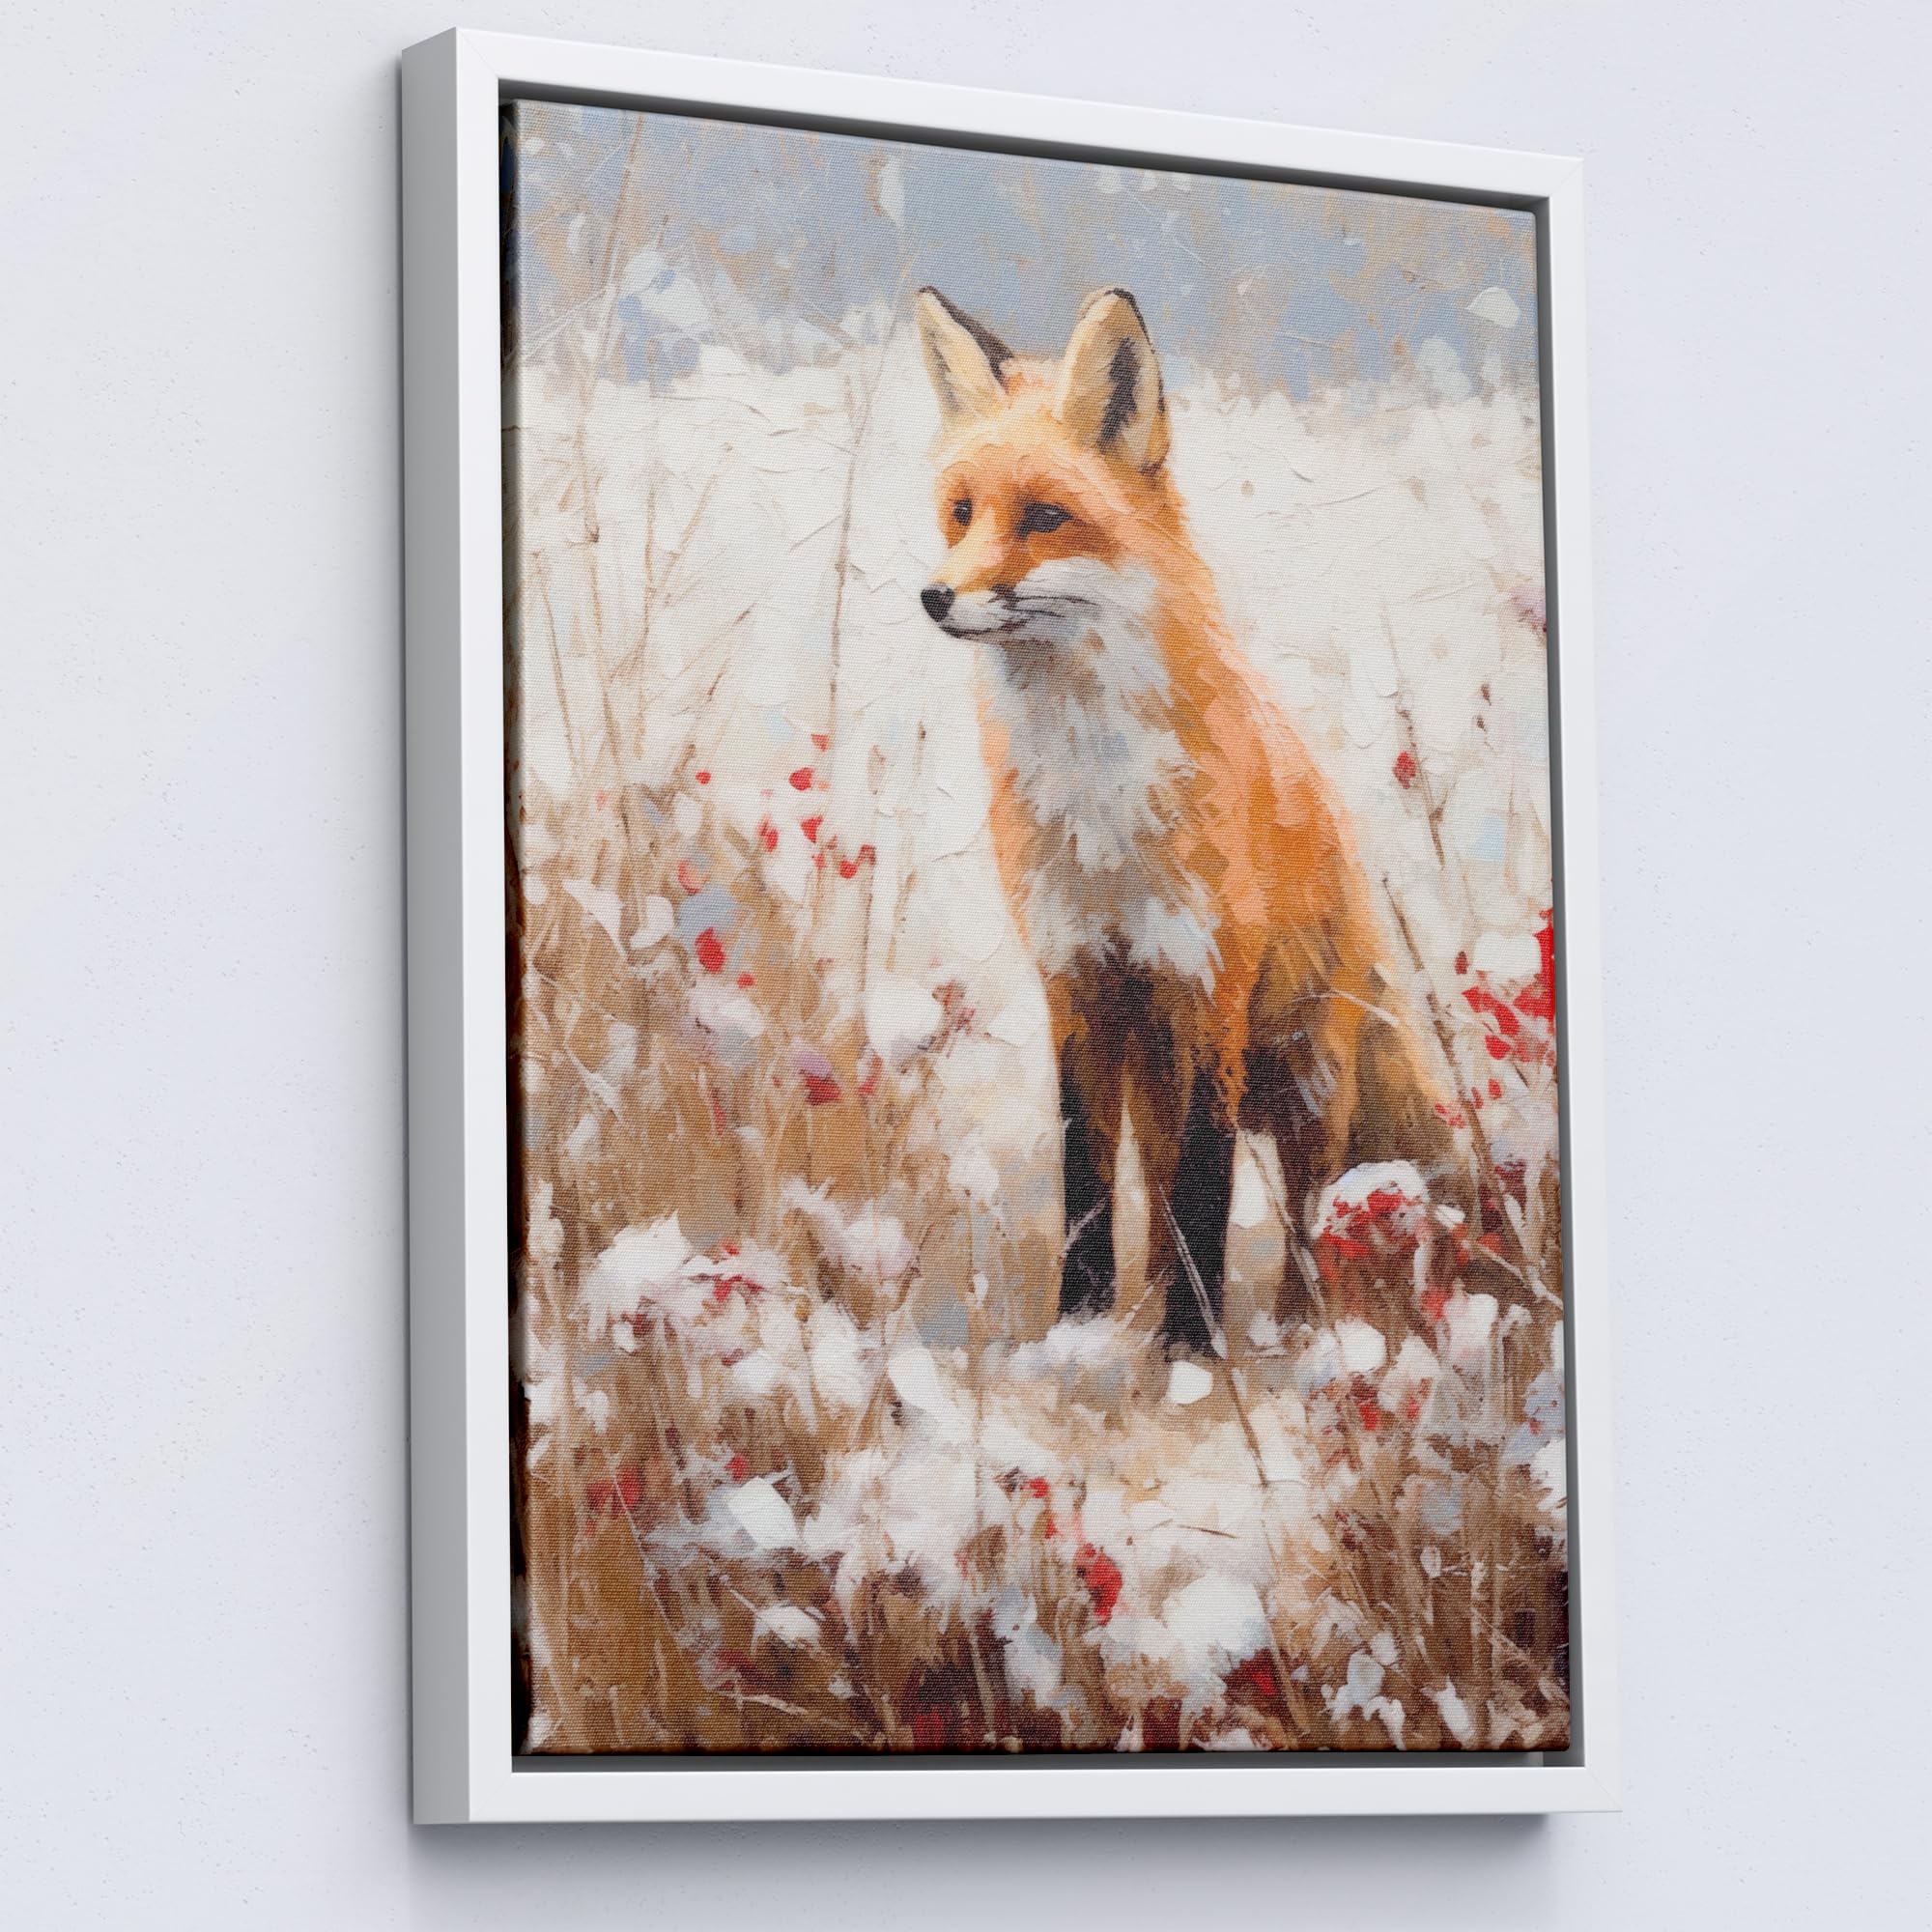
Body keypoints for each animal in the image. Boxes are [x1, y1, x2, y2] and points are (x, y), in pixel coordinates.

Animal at [914, 284, 1464, 1354]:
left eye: (1044, 518)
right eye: (961, 513)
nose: (935, 596)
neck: (1099, 802)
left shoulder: (1211, 985)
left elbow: (1207, 1193)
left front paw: (1188, 1353)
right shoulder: (1077, 986)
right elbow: (1088, 1183)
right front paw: (1080, 1337)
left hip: (1310, 1084)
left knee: (1305, 1222)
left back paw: (1300, 1336)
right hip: (1162, 1072)